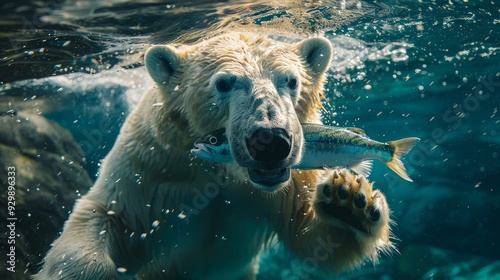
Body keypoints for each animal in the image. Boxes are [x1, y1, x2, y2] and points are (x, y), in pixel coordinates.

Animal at [36, 33, 394, 280]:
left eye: (291, 80)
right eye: (224, 83)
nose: (270, 140)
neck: (223, 172)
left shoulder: (284, 184)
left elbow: (311, 236)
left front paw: (349, 200)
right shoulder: (151, 165)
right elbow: (106, 215)